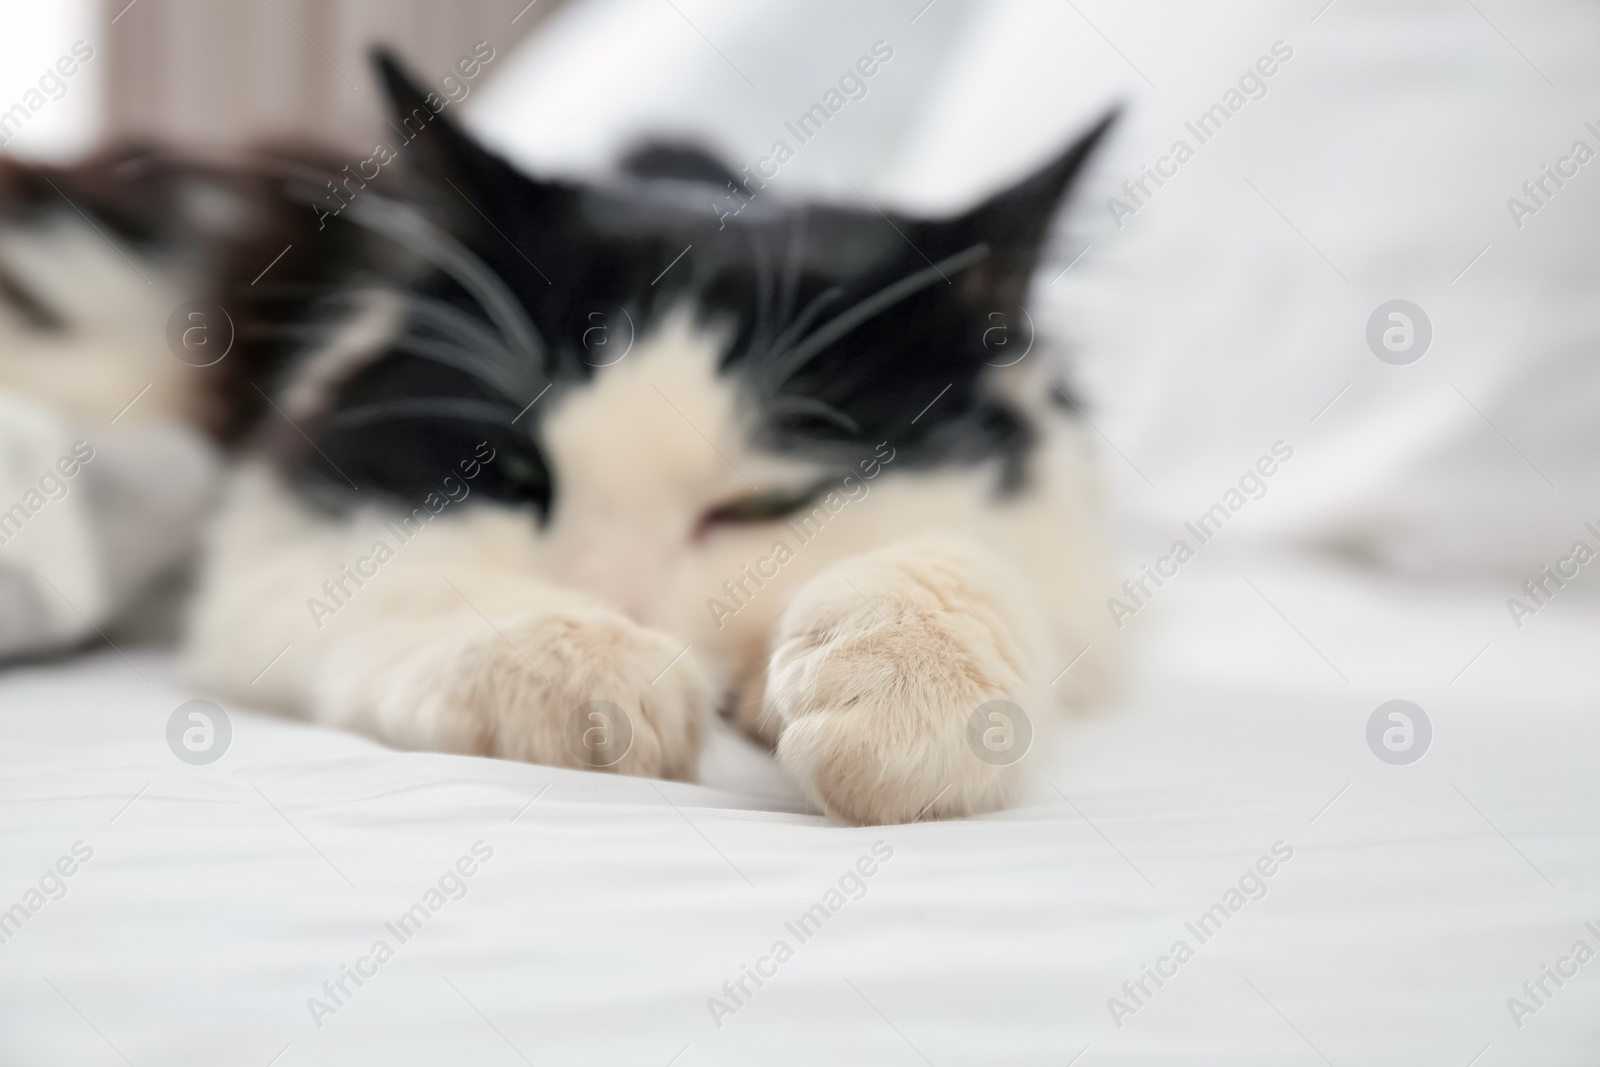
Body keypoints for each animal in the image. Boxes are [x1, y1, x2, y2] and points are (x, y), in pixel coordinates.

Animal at [9, 51, 1126, 825]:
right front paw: (593, 663)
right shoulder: (276, 548)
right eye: (509, 473)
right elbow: (417, 585)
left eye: (763, 504)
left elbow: (970, 565)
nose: (616, 600)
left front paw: (907, 693)